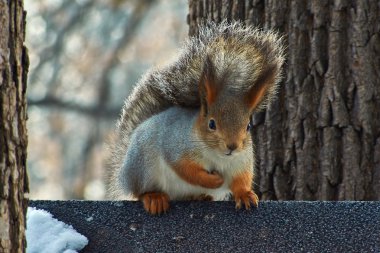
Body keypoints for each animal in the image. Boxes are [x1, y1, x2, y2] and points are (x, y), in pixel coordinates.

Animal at [105, 21, 284, 213]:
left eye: (248, 126)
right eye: (211, 124)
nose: (232, 146)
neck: (217, 155)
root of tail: (124, 174)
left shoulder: (241, 161)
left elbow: (241, 181)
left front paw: (245, 195)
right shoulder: (176, 147)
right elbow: (187, 171)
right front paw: (213, 180)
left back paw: (200, 197)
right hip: (143, 167)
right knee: (139, 192)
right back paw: (154, 197)